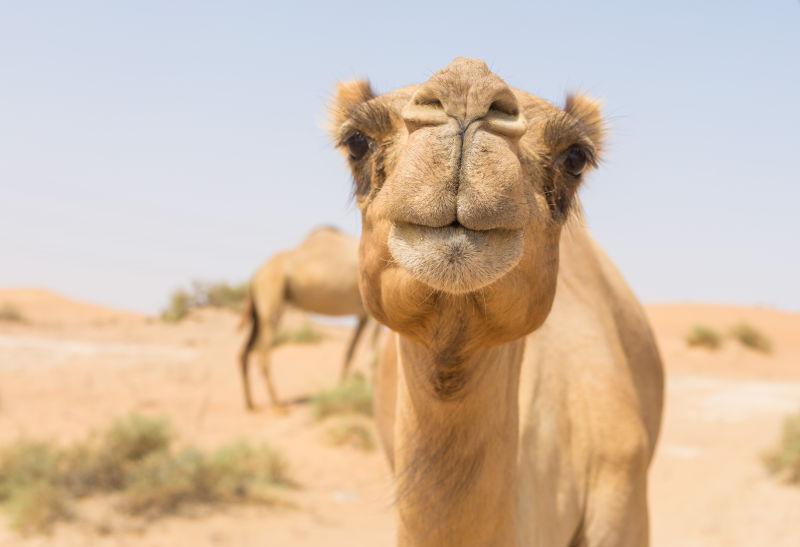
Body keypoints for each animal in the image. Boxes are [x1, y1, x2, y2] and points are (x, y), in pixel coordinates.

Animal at [238, 226, 372, 412]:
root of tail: (254, 277)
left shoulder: (363, 314)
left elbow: (351, 352)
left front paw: (342, 389)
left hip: (257, 314)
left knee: (244, 352)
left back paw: (251, 405)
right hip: (271, 295)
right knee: (263, 356)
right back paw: (278, 406)